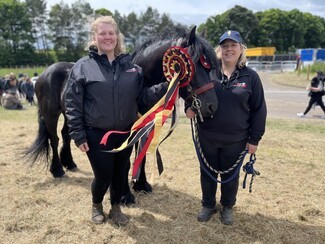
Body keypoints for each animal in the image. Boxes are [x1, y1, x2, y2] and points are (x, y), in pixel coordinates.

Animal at [24, 25, 218, 189]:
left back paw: (70, 163)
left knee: (67, 134)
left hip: (69, 113)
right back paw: (57, 169)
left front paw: (141, 184)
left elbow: (141, 152)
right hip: (51, 114)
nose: (211, 106)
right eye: (195, 64)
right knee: (54, 138)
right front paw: (126, 190)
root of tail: (45, 73)